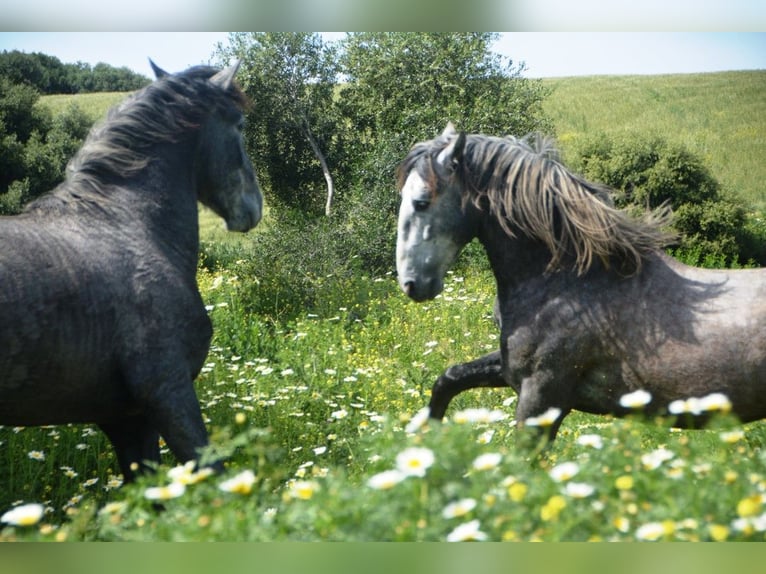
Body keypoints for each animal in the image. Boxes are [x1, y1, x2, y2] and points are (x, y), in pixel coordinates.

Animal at [396, 122, 766, 441]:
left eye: (421, 202)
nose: (412, 284)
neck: (566, 283)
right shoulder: (511, 371)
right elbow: (448, 379)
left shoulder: (543, 393)